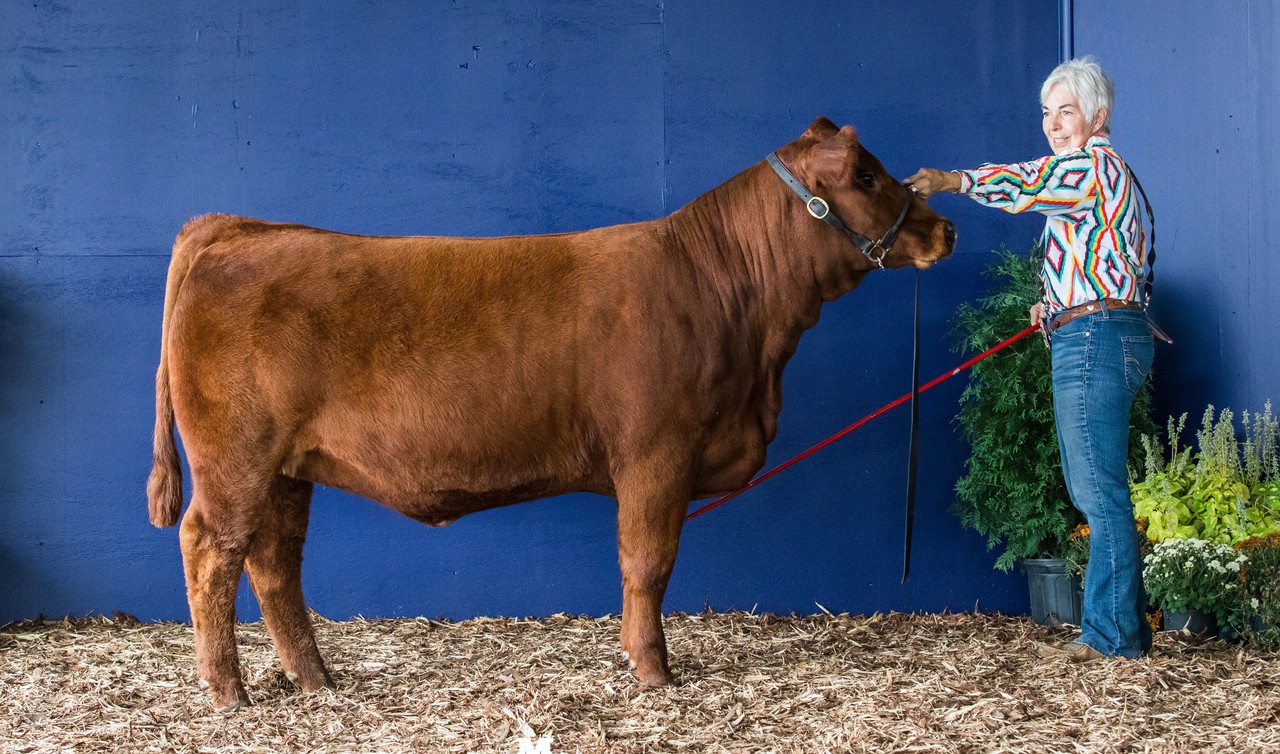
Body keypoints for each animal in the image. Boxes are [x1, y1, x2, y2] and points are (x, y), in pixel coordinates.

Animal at [147, 117, 955, 711]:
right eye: (865, 176)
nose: (944, 230)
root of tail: (240, 228)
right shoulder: (656, 452)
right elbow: (647, 562)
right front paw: (654, 673)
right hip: (235, 457)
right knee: (211, 550)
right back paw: (227, 692)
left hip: (287, 466)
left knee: (274, 561)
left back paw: (316, 681)